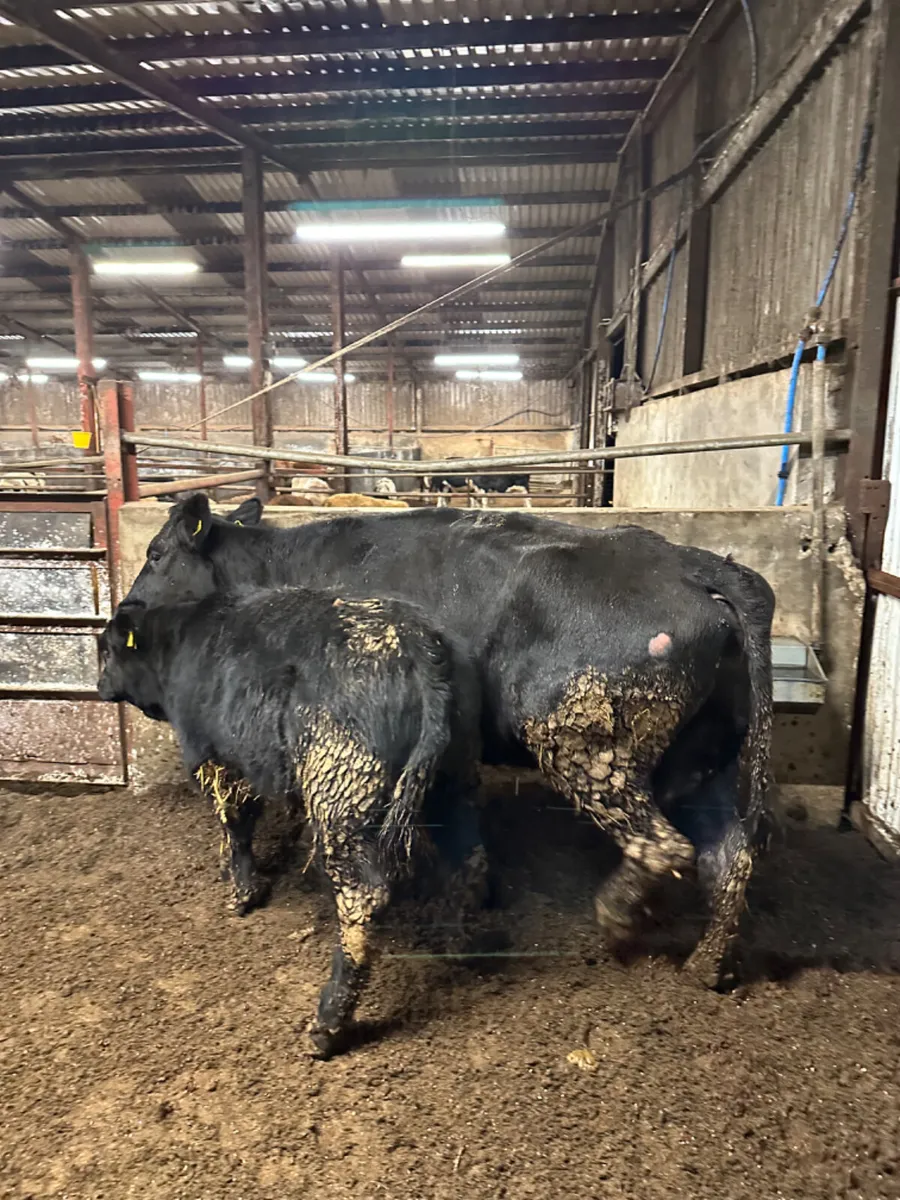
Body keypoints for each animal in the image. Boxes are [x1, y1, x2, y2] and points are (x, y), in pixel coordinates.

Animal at [97, 585, 481, 1057]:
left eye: (108, 650)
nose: (98, 685)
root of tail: (419, 645)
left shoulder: (220, 759)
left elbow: (237, 823)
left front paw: (243, 891)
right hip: (454, 779)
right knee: (469, 857)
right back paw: (459, 946)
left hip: (342, 794)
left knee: (362, 900)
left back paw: (327, 1025)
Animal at [123, 494, 775, 987]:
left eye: (155, 553)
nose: (126, 606)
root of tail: (691, 563)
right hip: (705, 756)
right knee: (730, 858)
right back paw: (706, 967)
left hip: (584, 745)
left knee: (664, 847)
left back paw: (616, 917)